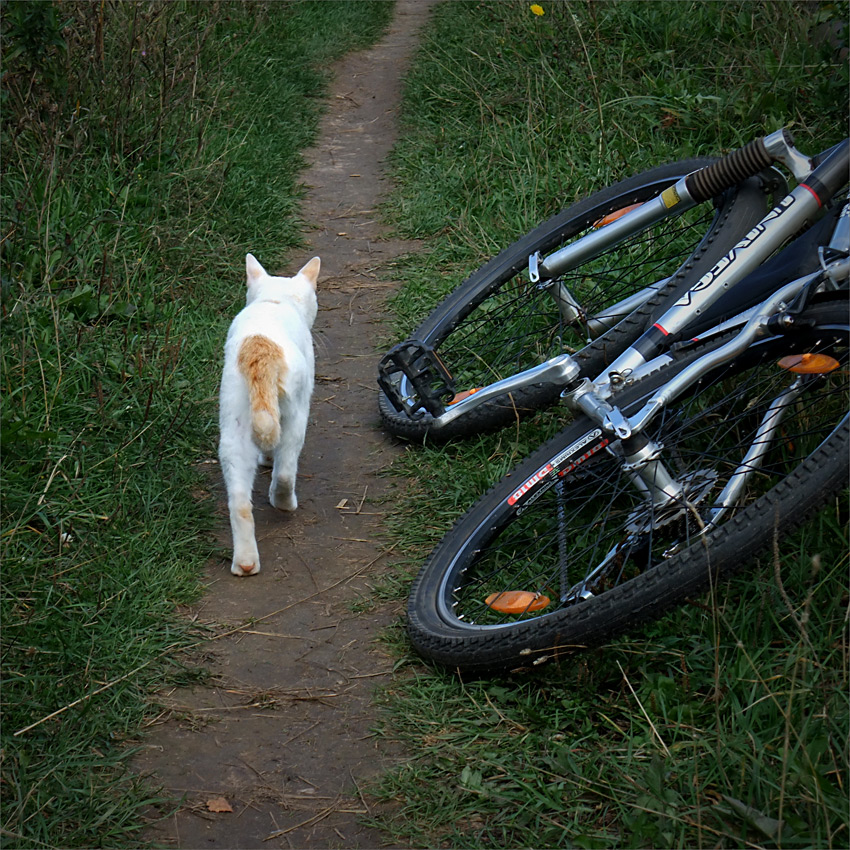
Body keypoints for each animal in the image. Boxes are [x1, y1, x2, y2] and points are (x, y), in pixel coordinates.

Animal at [219, 253, 318, 576]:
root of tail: (259, 349)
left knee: (239, 503)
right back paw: (284, 502)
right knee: (286, 471)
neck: (274, 301)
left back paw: (246, 562)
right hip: (296, 416)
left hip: (233, 432)